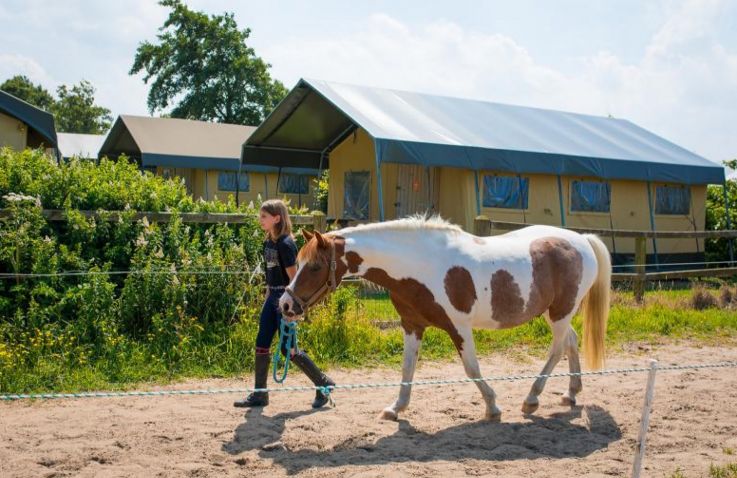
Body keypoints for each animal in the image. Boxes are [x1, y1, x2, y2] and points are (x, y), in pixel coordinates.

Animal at [278, 215, 608, 420]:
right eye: (299, 261)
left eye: (315, 266)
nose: (285, 305)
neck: (420, 264)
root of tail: (582, 240)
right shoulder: (412, 326)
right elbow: (407, 369)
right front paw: (395, 408)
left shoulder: (458, 327)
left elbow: (472, 369)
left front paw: (492, 406)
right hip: (556, 314)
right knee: (571, 341)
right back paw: (570, 394)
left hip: (560, 312)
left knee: (557, 348)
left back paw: (532, 399)